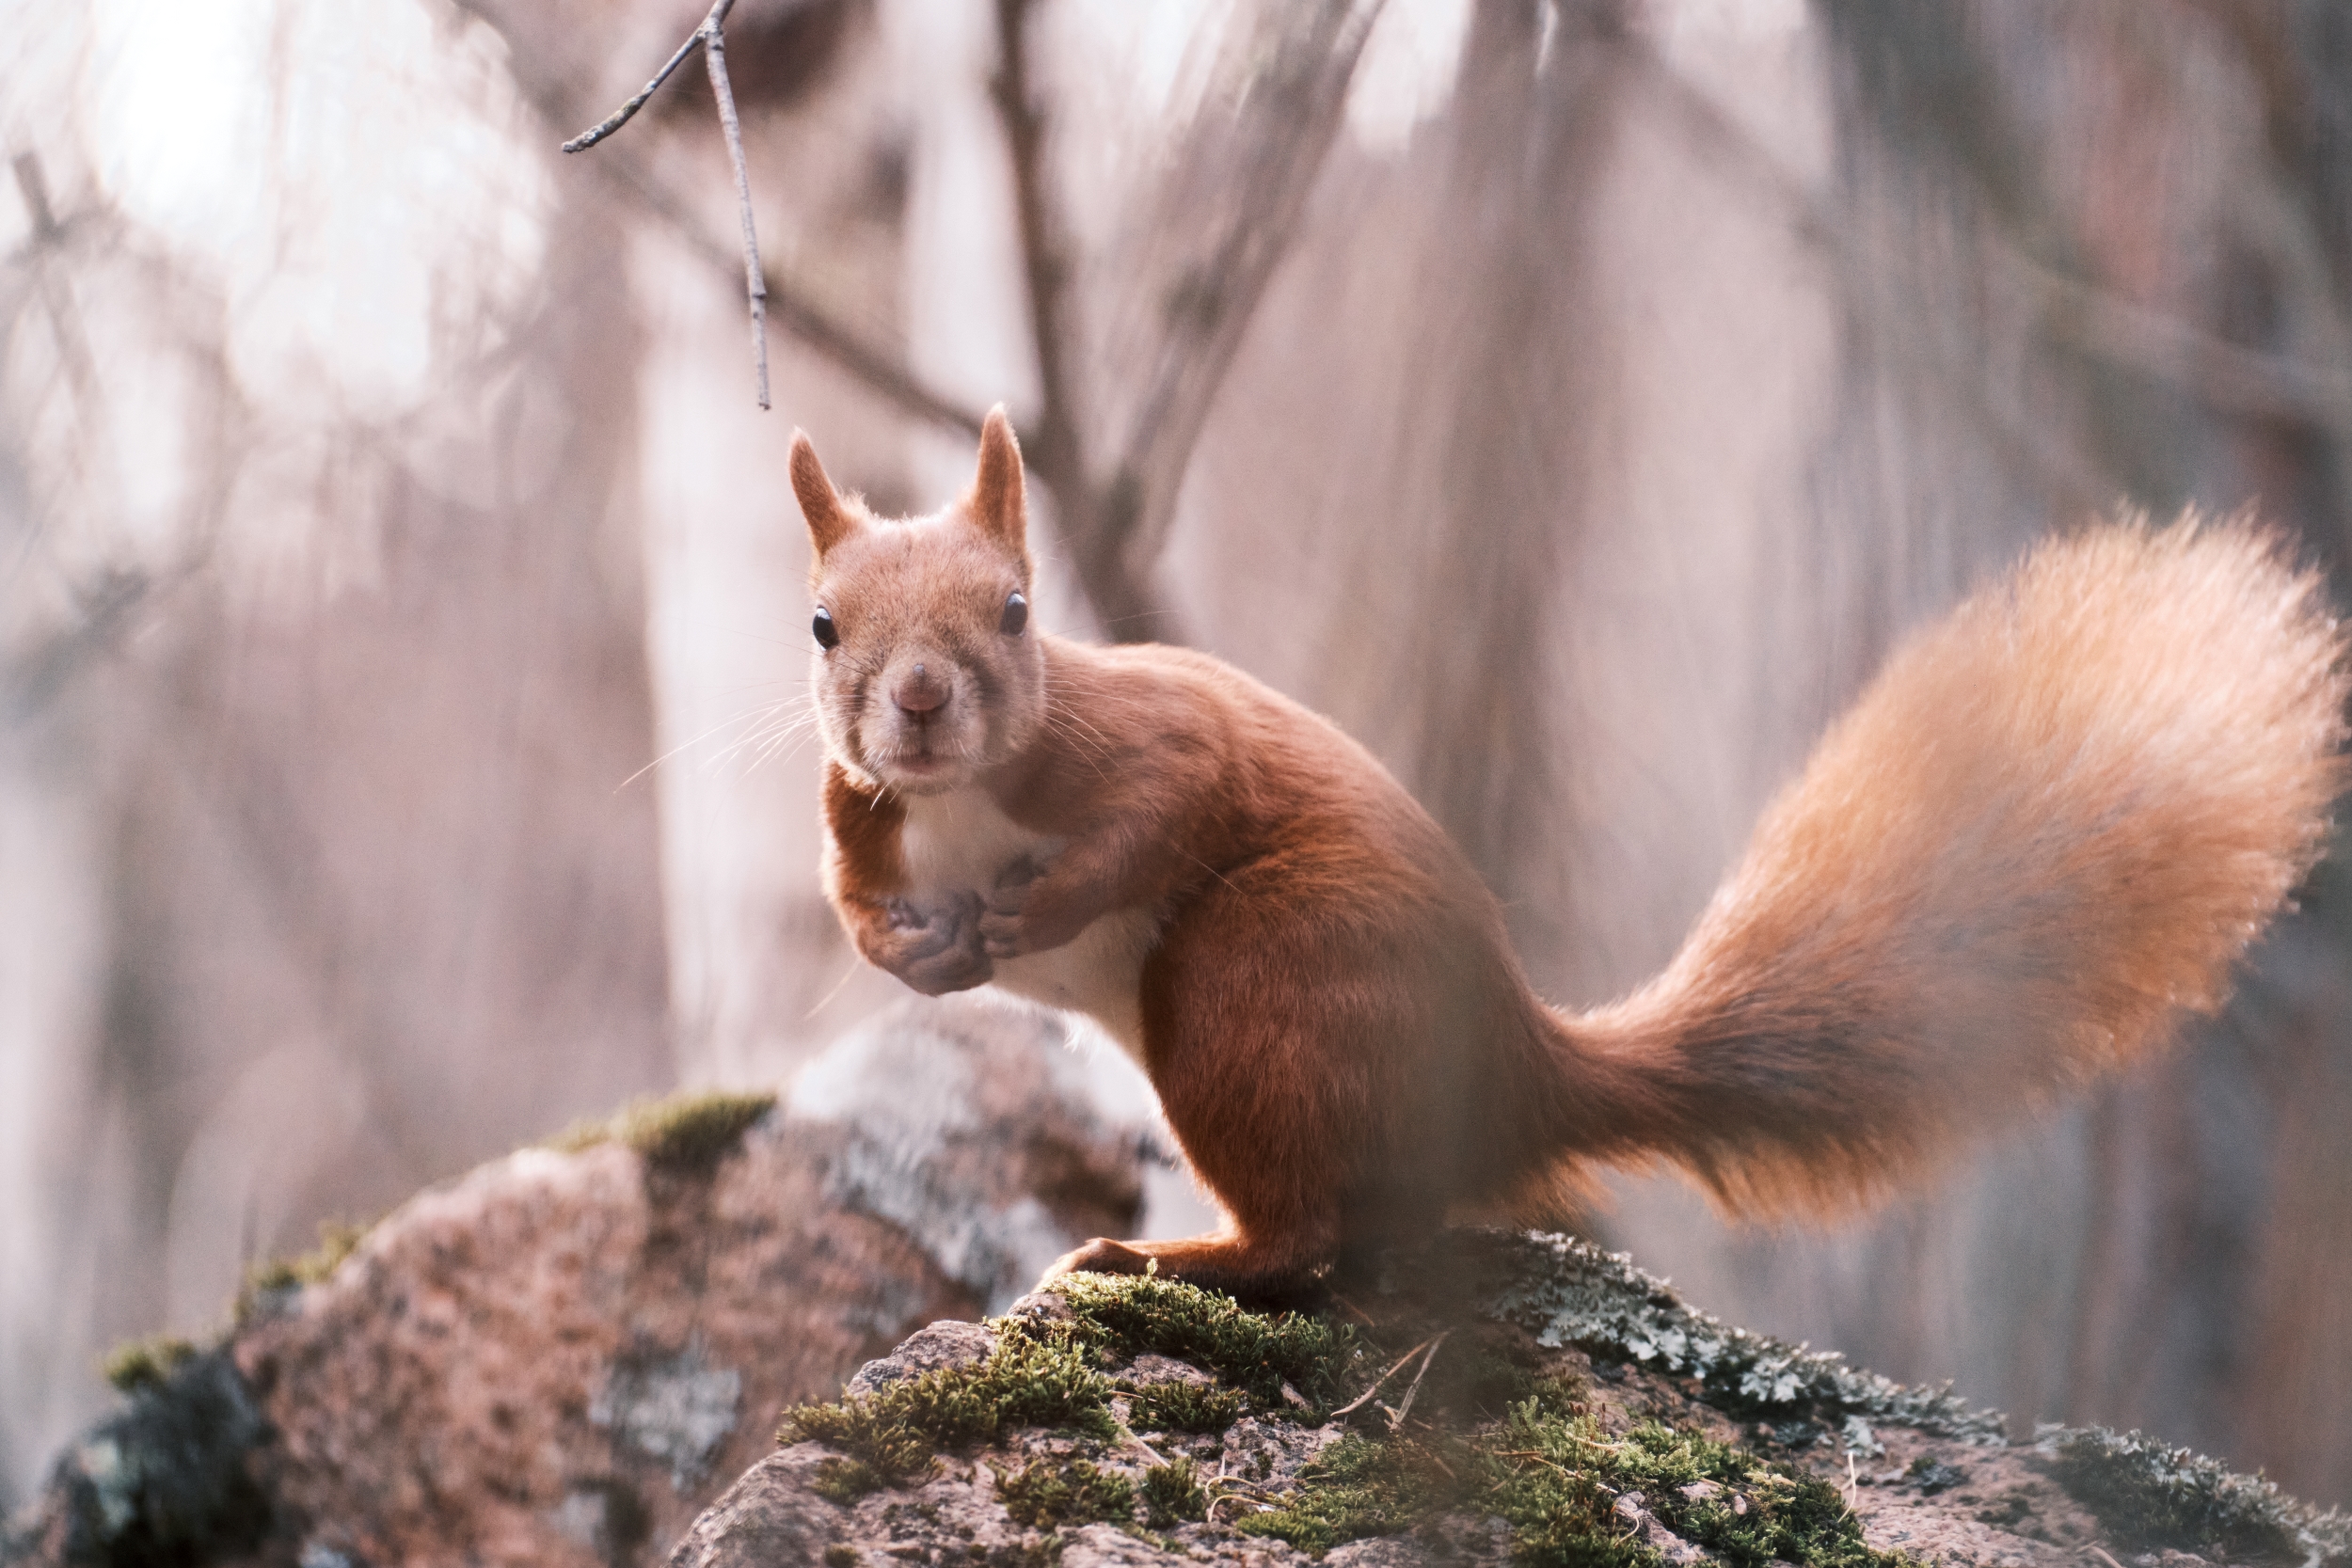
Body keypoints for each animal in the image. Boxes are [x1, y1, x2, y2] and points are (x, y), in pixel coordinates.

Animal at [795, 408, 2352, 1297]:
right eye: (822, 623)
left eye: (1014, 609)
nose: (918, 701)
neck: (964, 793)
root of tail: (1521, 1066)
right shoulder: (861, 812)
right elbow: (857, 900)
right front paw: (917, 951)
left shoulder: (1154, 741)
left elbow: (1165, 804)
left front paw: (1035, 903)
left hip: (1255, 978)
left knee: (1305, 1239)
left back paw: (1166, 1254)